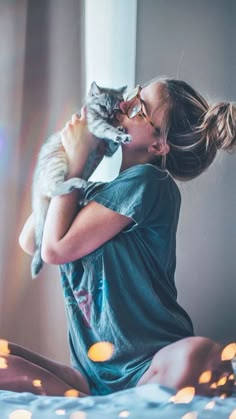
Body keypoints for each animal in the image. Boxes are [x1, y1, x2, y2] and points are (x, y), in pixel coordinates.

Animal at [30, 81, 131, 278]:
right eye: (102, 106)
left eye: (116, 109)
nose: (109, 115)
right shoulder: (95, 123)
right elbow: (107, 130)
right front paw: (118, 134)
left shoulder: (106, 150)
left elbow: (111, 145)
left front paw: (119, 133)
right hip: (57, 162)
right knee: (53, 188)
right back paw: (76, 183)